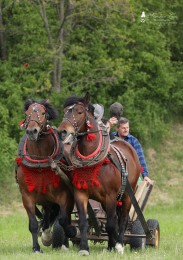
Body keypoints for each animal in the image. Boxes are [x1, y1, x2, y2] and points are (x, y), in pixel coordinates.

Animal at [15, 99, 75, 252]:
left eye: (43, 113)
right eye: (27, 113)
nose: (32, 131)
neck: (40, 162)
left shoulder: (64, 196)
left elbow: (63, 220)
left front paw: (70, 234)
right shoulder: (27, 196)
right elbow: (33, 224)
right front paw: (36, 248)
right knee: (48, 216)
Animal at [58, 93, 141, 254]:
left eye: (79, 112)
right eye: (65, 111)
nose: (62, 131)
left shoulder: (111, 196)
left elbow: (111, 225)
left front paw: (117, 244)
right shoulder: (81, 194)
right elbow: (83, 222)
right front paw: (84, 248)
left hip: (127, 195)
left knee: (122, 219)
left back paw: (118, 243)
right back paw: (110, 245)